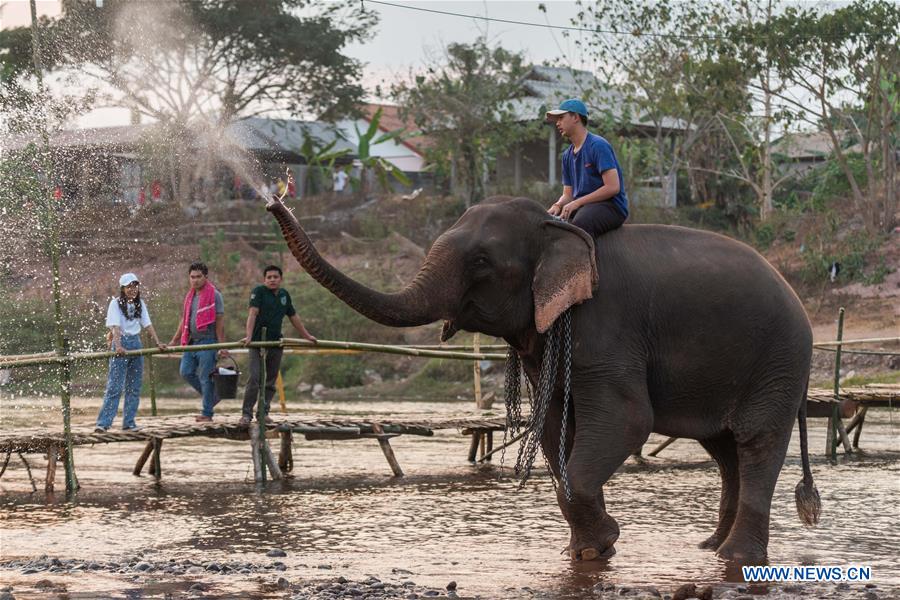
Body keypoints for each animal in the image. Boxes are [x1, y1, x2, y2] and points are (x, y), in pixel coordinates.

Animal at [266, 196, 816, 564]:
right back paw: (710, 547)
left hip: (780, 360)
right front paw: (589, 551)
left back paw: (736, 559)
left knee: (756, 441)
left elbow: (627, 421)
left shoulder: (607, 325)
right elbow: (554, 426)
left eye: (481, 262)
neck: (556, 228)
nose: (273, 198)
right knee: (723, 451)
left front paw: (602, 543)